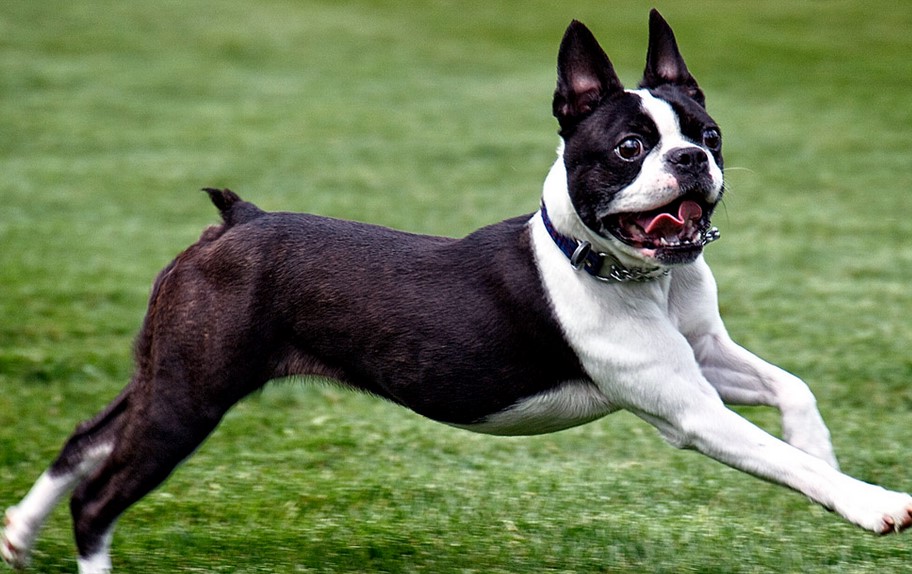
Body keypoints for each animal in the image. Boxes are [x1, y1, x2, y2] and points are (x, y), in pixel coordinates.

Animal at [1, 10, 912, 574]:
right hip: (192, 394)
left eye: (710, 135)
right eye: (628, 148)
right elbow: (775, 454)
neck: (627, 272)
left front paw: (826, 459)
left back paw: (17, 534)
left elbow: (793, 391)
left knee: (85, 440)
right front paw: (871, 503)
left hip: (169, 371)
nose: (692, 160)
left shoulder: (705, 353)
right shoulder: (686, 408)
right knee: (101, 494)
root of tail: (236, 221)